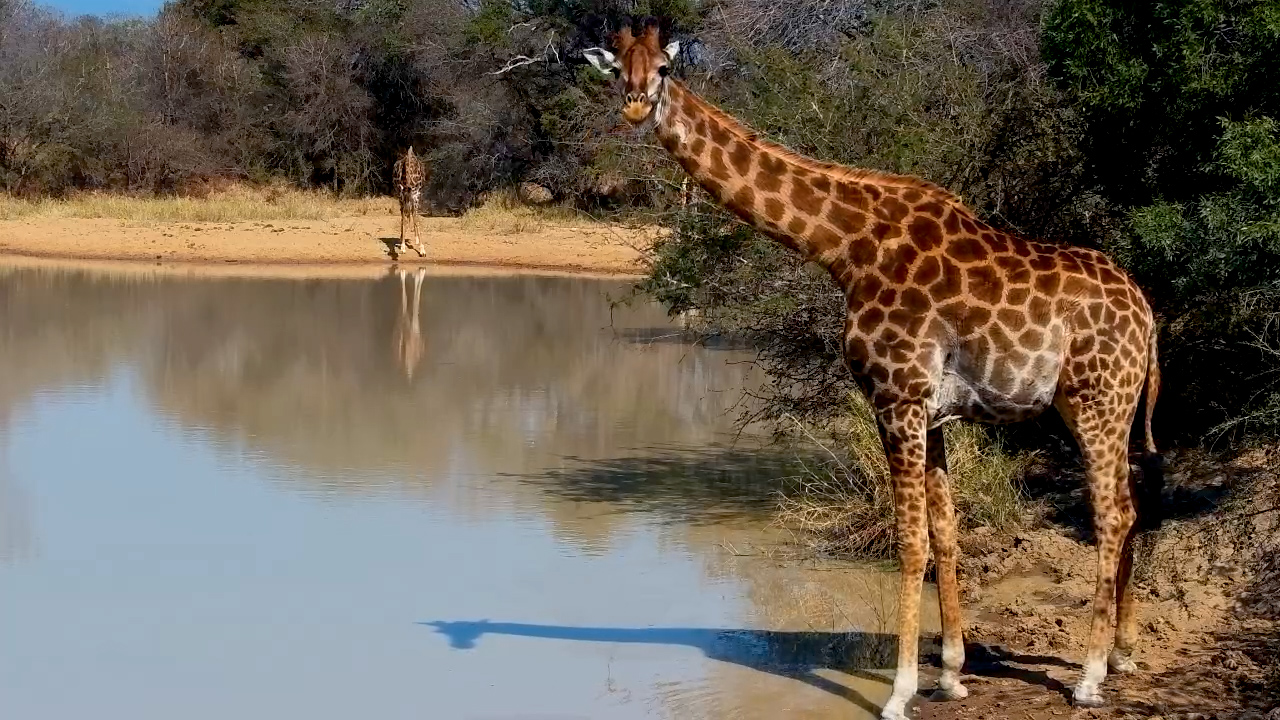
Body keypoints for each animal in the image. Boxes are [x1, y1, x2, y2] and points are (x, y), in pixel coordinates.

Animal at [584, 22, 1161, 719]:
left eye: (665, 68)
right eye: (618, 69)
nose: (636, 106)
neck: (846, 248)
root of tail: (1149, 317)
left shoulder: (896, 396)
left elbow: (909, 541)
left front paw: (900, 690)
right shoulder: (932, 412)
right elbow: (946, 533)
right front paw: (951, 674)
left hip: (1094, 402)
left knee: (1113, 515)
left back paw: (1090, 676)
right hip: (1113, 408)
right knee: (1131, 507)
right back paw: (1125, 653)